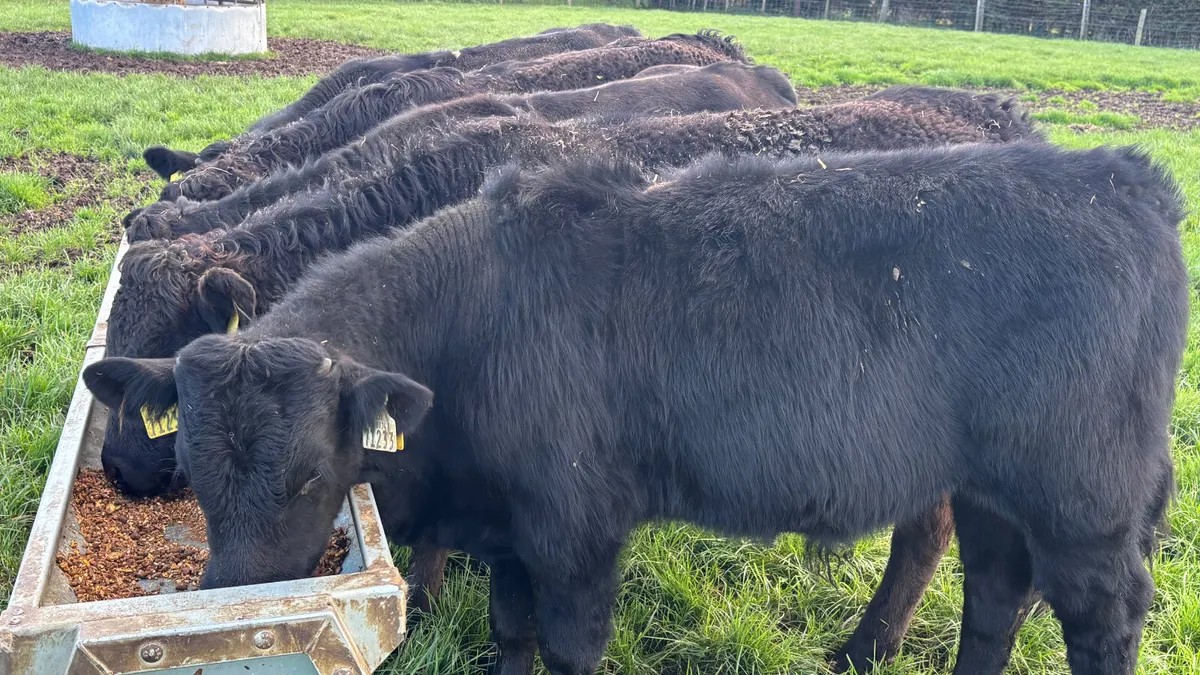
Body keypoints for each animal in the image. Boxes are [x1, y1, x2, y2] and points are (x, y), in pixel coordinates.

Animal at [84, 141, 1187, 675]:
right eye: (194, 470)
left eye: (314, 473)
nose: (232, 600)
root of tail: (1124, 177)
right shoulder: (516, 531)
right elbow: (511, 635)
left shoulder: (577, 532)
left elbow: (568, 647)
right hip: (1001, 485)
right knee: (996, 593)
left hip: (1086, 498)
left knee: (1101, 616)